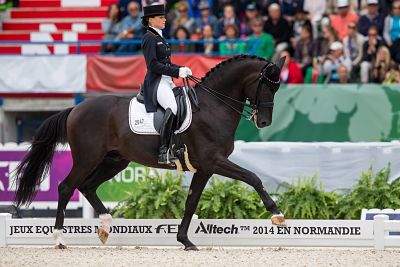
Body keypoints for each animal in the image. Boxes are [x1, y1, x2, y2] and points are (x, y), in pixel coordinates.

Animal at [14, 55, 286, 251]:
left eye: (277, 89)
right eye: (265, 86)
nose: (263, 122)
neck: (212, 106)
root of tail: (76, 108)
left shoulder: (204, 168)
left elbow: (191, 202)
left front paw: (185, 241)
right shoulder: (214, 161)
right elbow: (253, 177)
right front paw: (276, 214)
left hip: (115, 161)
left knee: (88, 186)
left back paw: (105, 226)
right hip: (87, 158)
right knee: (66, 187)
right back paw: (60, 239)